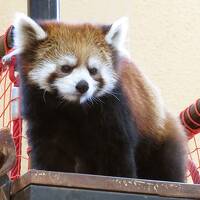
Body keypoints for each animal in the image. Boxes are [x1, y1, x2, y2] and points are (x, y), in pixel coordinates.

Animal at [5, 12, 188, 181]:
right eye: (66, 68)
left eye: (93, 70)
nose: (82, 85)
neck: (73, 107)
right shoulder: (44, 114)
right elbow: (51, 152)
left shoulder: (114, 110)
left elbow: (116, 152)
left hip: (157, 137)